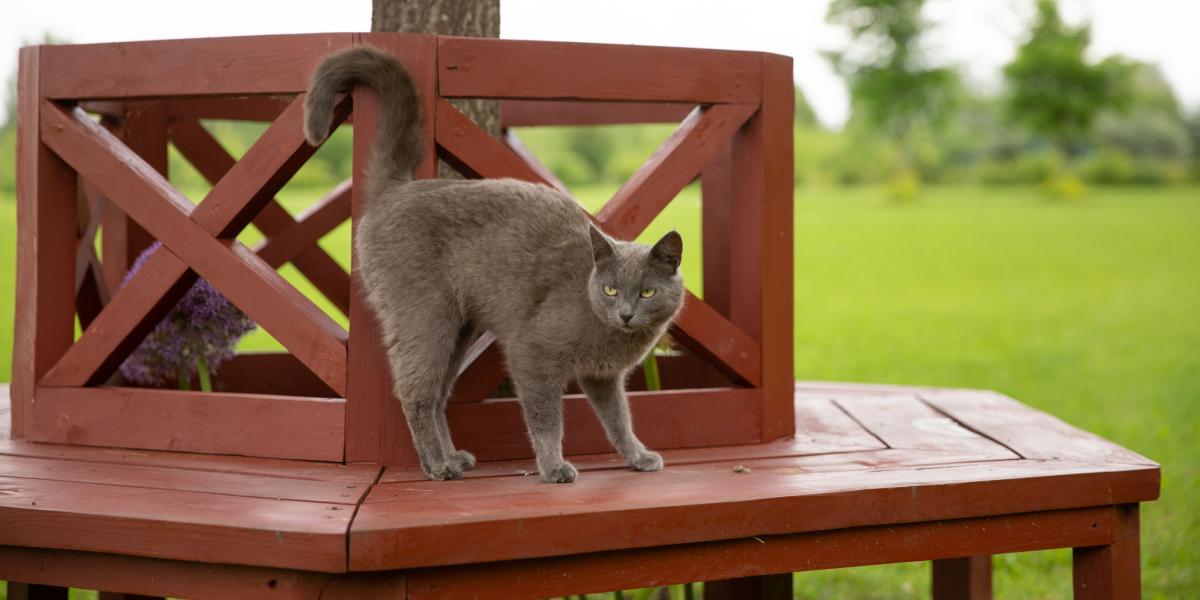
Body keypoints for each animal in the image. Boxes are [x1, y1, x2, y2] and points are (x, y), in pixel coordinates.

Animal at [300, 48, 686, 487]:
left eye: (646, 291)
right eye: (611, 289)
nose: (624, 313)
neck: (608, 333)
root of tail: (396, 188)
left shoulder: (602, 377)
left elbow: (619, 419)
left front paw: (637, 456)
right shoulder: (531, 352)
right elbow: (545, 418)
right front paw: (553, 468)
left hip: (459, 329)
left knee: (439, 393)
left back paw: (453, 456)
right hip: (424, 313)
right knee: (416, 391)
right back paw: (438, 466)